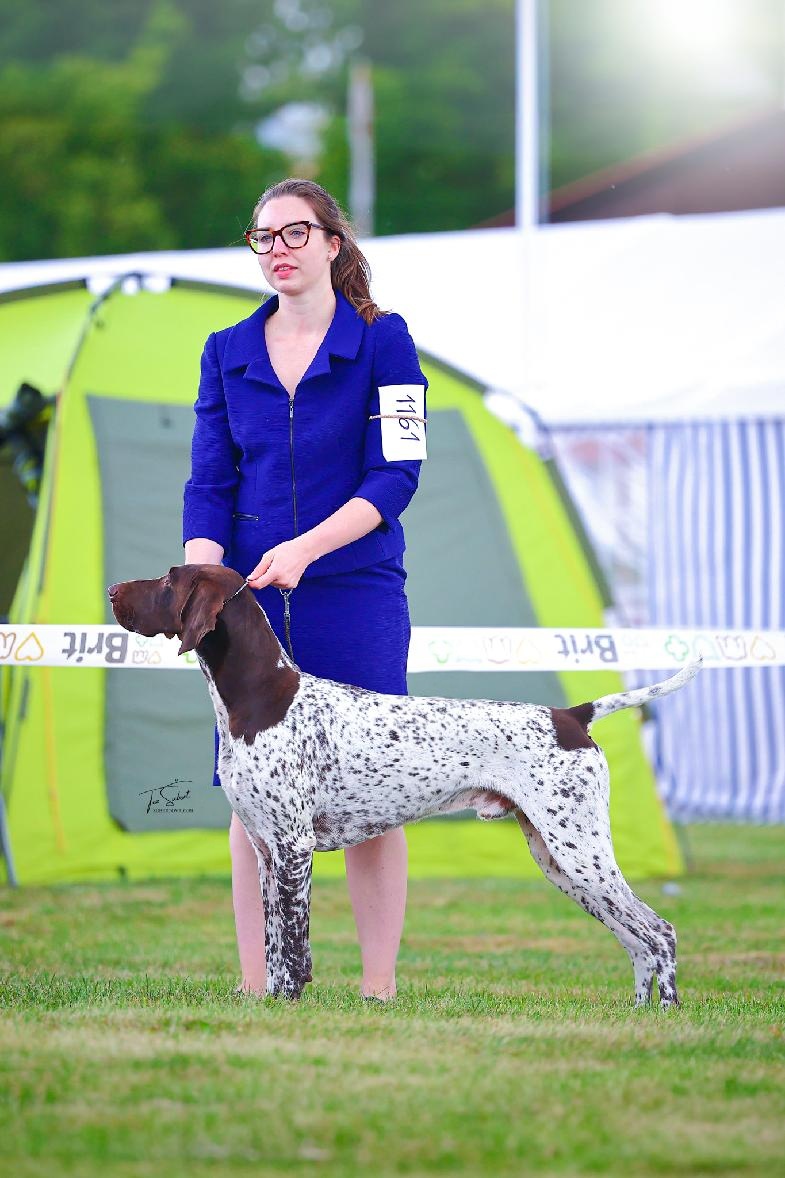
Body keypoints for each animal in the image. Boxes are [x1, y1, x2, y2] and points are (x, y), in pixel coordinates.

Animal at [109, 564, 699, 1006]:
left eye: (168, 580)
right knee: (638, 941)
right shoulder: (265, 850)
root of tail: (572, 716)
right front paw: (272, 1000)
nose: (112, 590)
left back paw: (665, 1014)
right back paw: (639, 1013)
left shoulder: (294, 849)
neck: (262, 698)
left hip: (581, 851)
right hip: (560, 860)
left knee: (660, 933)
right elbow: (275, 943)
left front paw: (290, 1003)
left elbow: (295, 946)